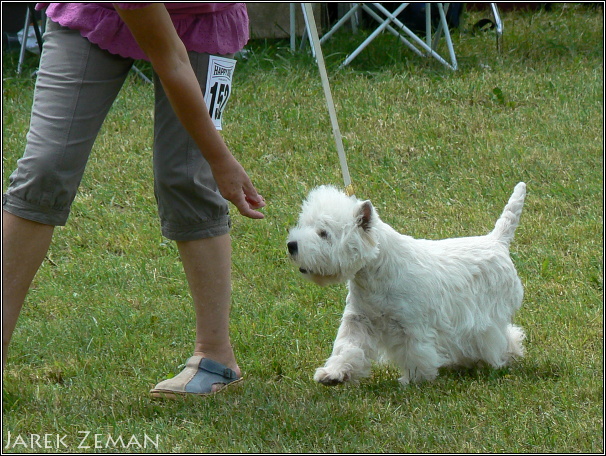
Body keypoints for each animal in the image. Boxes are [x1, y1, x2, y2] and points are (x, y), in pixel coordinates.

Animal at [288, 183, 528, 386]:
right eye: (305, 224)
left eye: (324, 233)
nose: (291, 245)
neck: (376, 272)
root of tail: (497, 240)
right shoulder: (359, 319)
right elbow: (347, 346)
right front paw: (334, 373)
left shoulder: (411, 325)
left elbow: (414, 352)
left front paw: (414, 379)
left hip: (489, 314)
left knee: (501, 335)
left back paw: (501, 357)